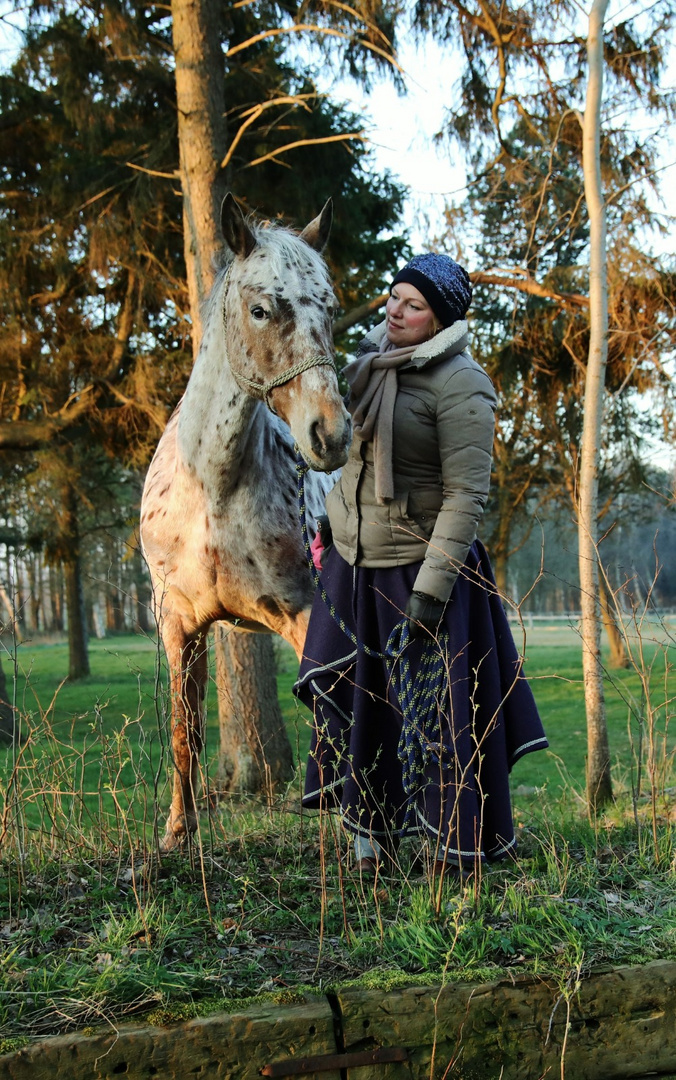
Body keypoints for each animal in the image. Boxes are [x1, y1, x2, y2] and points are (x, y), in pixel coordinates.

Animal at [142, 196, 352, 851]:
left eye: (330, 309)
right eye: (260, 310)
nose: (331, 435)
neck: (213, 489)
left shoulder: (305, 617)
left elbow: (334, 730)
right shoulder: (179, 624)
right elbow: (185, 731)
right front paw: (178, 834)